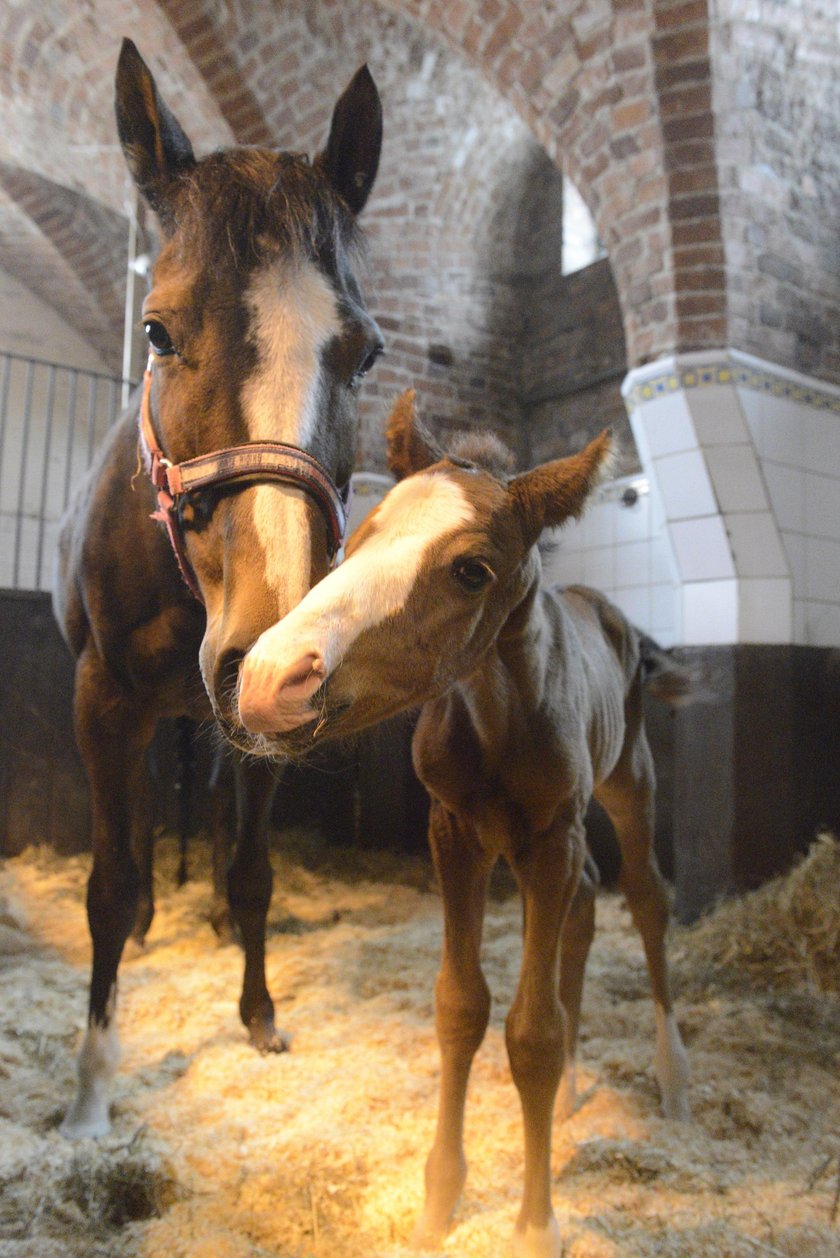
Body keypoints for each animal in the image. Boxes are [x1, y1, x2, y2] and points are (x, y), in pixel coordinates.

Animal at [232, 395, 684, 1258]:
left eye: (471, 569)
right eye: (359, 537)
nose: (270, 679)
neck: (502, 715)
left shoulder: (551, 836)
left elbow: (531, 1032)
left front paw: (536, 1224)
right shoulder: (456, 835)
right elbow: (461, 1006)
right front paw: (439, 1201)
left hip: (630, 783)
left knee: (645, 896)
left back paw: (673, 1065)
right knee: (586, 902)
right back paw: (574, 1088)